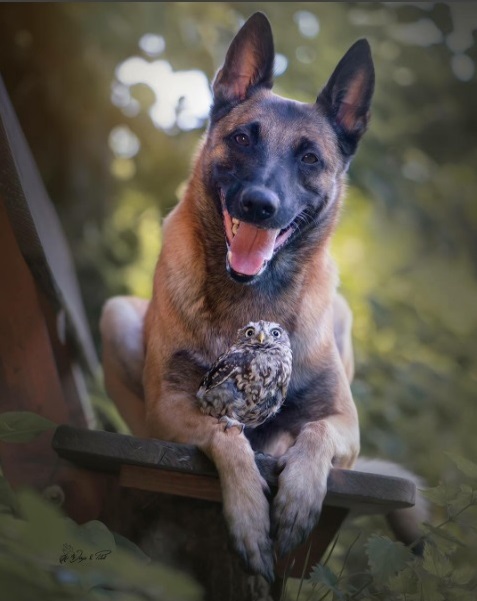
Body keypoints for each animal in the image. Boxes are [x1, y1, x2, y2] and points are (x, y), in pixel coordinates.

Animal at [98, 12, 422, 580]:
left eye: (310, 157)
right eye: (244, 138)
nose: (258, 205)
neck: (255, 300)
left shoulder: (343, 423)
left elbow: (312, 435)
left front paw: (297, 500)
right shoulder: (171, 407)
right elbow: (225, 435)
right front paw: (249, 519)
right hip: (116, 317)